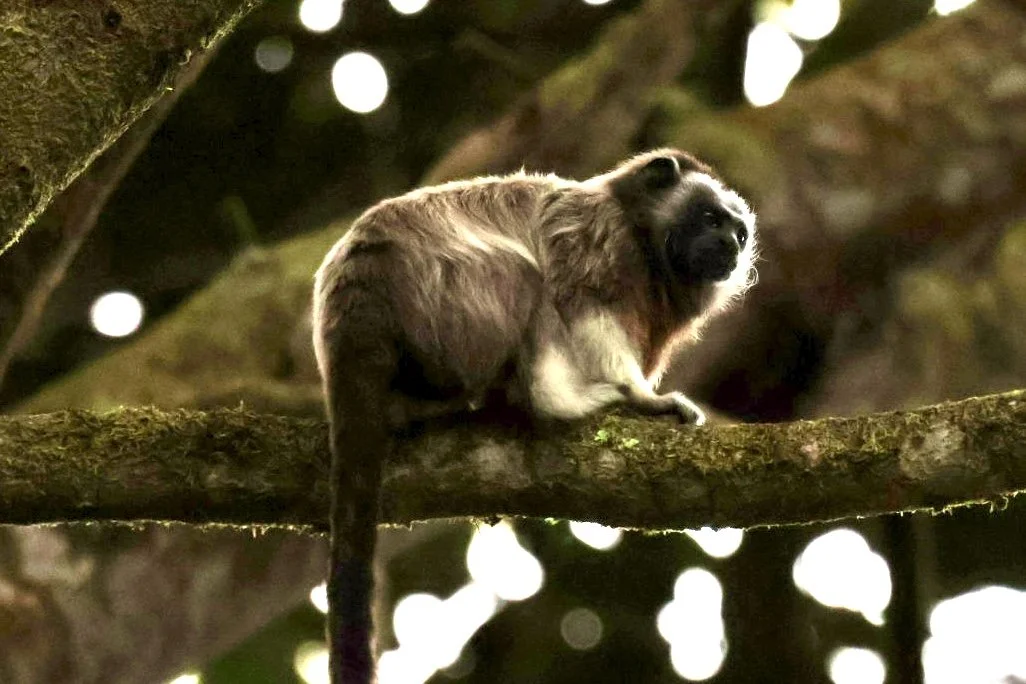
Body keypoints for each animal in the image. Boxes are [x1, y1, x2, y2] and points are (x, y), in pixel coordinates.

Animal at [312, 148, 757, 684]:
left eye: (739, 233)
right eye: (710, 219)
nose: (729, 246)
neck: (647, 247)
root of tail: (355, 300)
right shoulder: (593, 234)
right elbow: (582, 302)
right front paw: (640, 396)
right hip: (452, 306)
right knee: (527, 277)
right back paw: (557, 399)